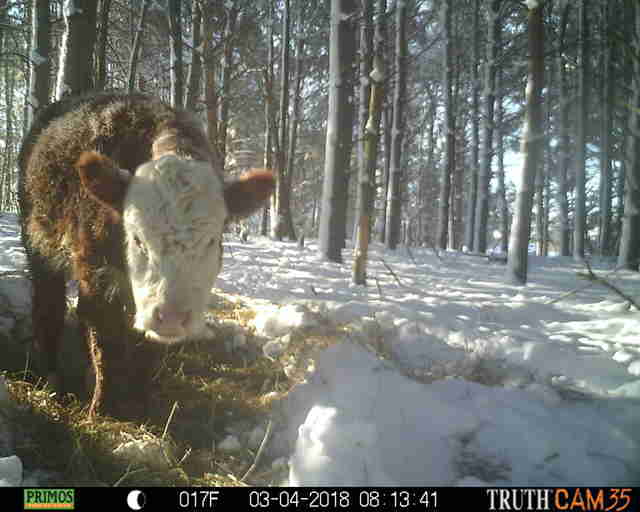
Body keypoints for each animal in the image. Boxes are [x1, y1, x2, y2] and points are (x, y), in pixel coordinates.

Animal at [18, 92, 274, 418]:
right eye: (137, 238)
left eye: (212, 240)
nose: (172, 316)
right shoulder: (96, 272)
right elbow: (106, 339)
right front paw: (103, 407)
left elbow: (146, 347)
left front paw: (140, 399)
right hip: (37, 239)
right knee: (49, 305)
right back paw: (49, 375)